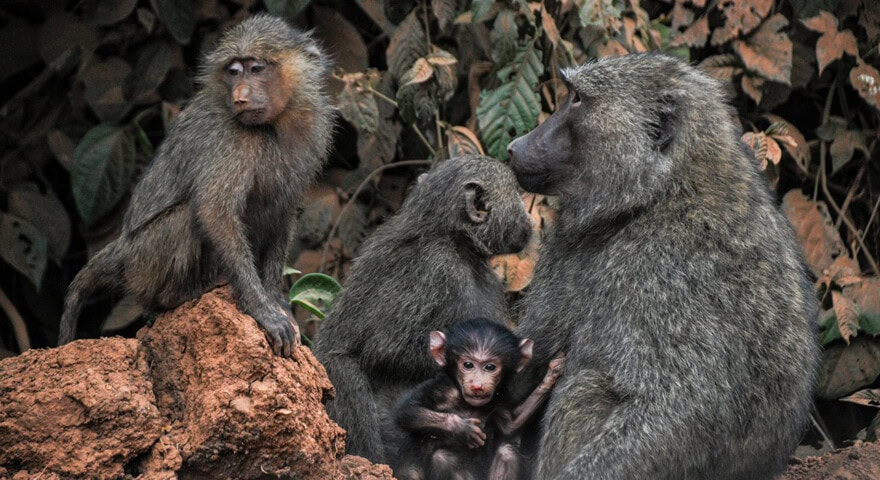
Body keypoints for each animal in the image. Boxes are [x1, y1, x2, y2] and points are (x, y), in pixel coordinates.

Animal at [57, 14, 334, 357]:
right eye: (234, 71)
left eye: (256, 68)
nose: (240, 97)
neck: (273, 125)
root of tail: (123, 248)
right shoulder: (229, 136)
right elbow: (215, 210)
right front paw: (262, 310)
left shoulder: (313, 131)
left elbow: (284, 211)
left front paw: (274, 299)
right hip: (144, 263)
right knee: (187, 216)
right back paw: (177, 297)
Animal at [312, 155, 534, 464]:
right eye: (516, 193)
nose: (529, 218)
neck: (450, 235)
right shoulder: (440, 269)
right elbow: (387, 349)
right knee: (345, 373)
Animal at [393, 317, 565, 480]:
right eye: (468, 365)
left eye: (490, 367)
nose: (477, 385)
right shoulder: (441, 388)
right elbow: (407, 411)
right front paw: (463, 428)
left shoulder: (499, 400)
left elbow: (511, 425)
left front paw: (550, 377)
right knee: (442, 457)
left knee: (507, 452)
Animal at [504, 53, 820, 479]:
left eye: (577, 99)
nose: (515, 147)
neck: (660, 192)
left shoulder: (664, 265)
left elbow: (684, 407)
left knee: (584, 393)